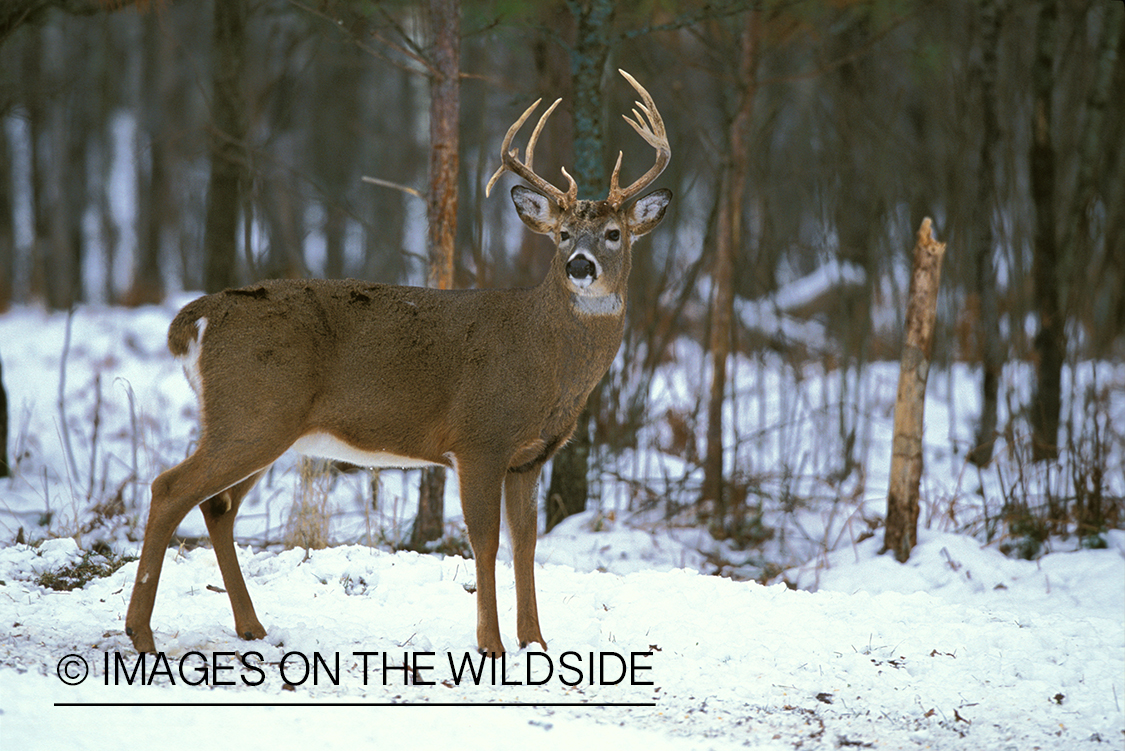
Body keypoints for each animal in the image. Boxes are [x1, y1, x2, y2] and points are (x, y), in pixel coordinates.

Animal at [125, 70, 666, 656]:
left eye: (614, 233)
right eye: (562, 234)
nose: (580, 266)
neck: (542, 355)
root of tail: (199, 317)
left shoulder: (529, 456)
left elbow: (526, 544)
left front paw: (535, 642)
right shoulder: (478, 439)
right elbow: (484, 541)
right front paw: (491, 645)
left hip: (263, 424)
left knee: (217, 506)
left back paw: (250, 626)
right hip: (250, 412)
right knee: (169, 488)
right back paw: (141, 633)